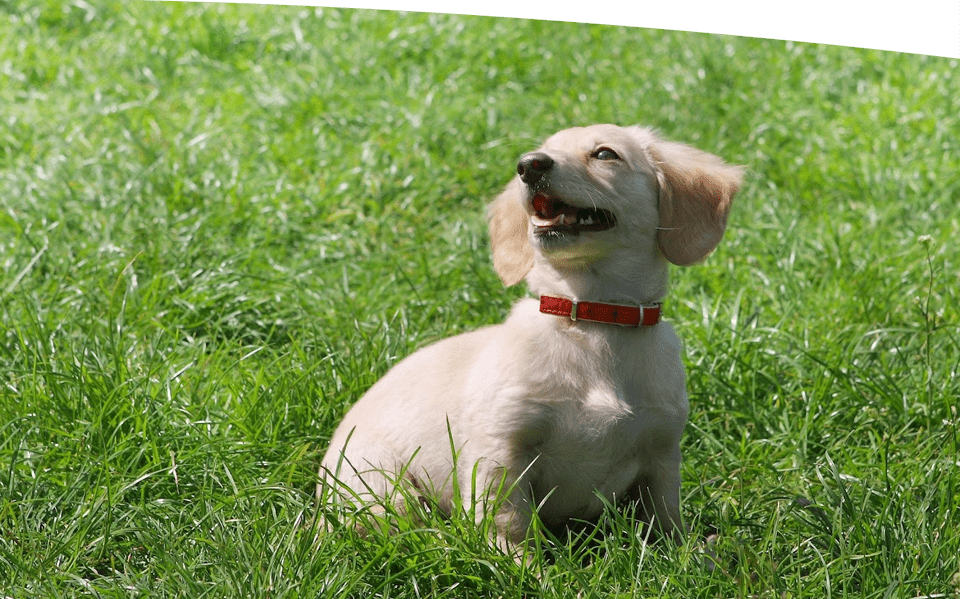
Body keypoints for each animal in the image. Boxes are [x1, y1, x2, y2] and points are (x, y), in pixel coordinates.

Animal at [320, 124, 744, 556]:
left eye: (605, 154)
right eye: (542, 150)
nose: (529, 165)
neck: (591, 317)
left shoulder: (661, 452)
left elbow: (664, 518)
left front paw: (686, 555)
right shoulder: (501, 450)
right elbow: (510, 522)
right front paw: (523, 565)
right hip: (382, 486)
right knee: (404, 529)